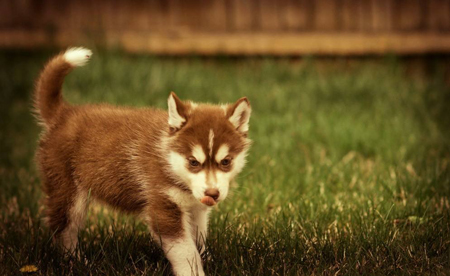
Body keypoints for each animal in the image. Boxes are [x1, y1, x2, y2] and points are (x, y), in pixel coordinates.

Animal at [33, 48, 251, 276]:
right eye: (193, 162)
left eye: (225, 161)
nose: (212, 194)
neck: (168, 160)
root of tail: (64, 113)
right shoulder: (163, 207)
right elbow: (185, 250)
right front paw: (194, 271)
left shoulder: (195, 209)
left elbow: (198, 239)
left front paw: (207, 259)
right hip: (68, 191)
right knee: (64, 229)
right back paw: (75, 262)